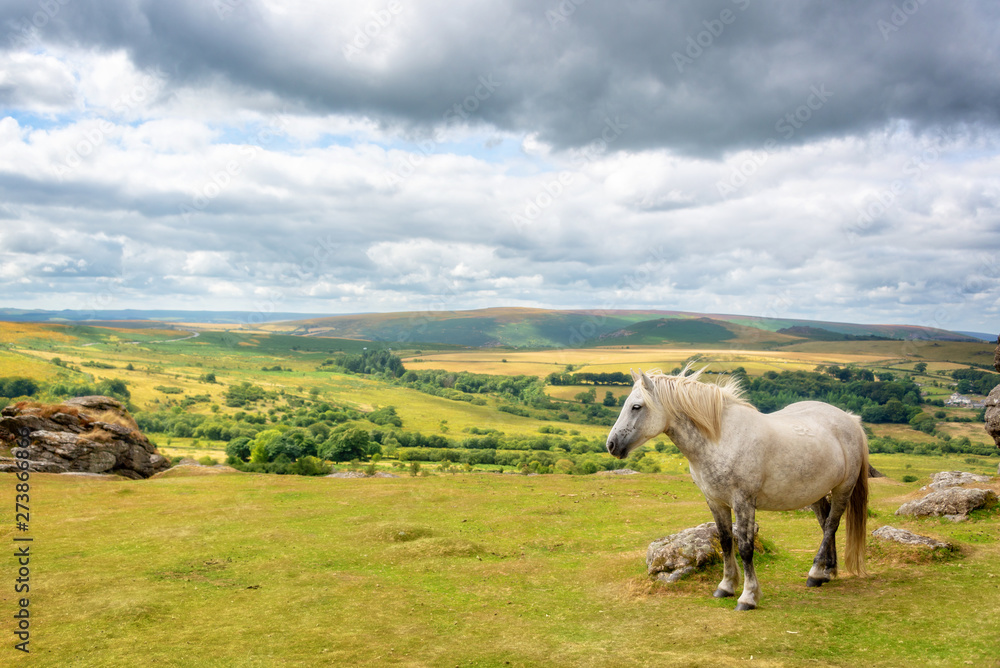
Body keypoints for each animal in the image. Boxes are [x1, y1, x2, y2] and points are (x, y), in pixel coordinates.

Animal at [600, 366, 868, 612]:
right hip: (816, 492)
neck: (720, 439)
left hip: (842, 489)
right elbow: (726, 541)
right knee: (825, 524)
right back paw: (827, 571)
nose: (611, 445)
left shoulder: (743, 502)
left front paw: (748, 596)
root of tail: (850, 419)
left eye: (636, 407)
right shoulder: (715, 501)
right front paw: (726, 586)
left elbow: (746, 548)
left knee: (831, 524)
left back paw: (814, 573)